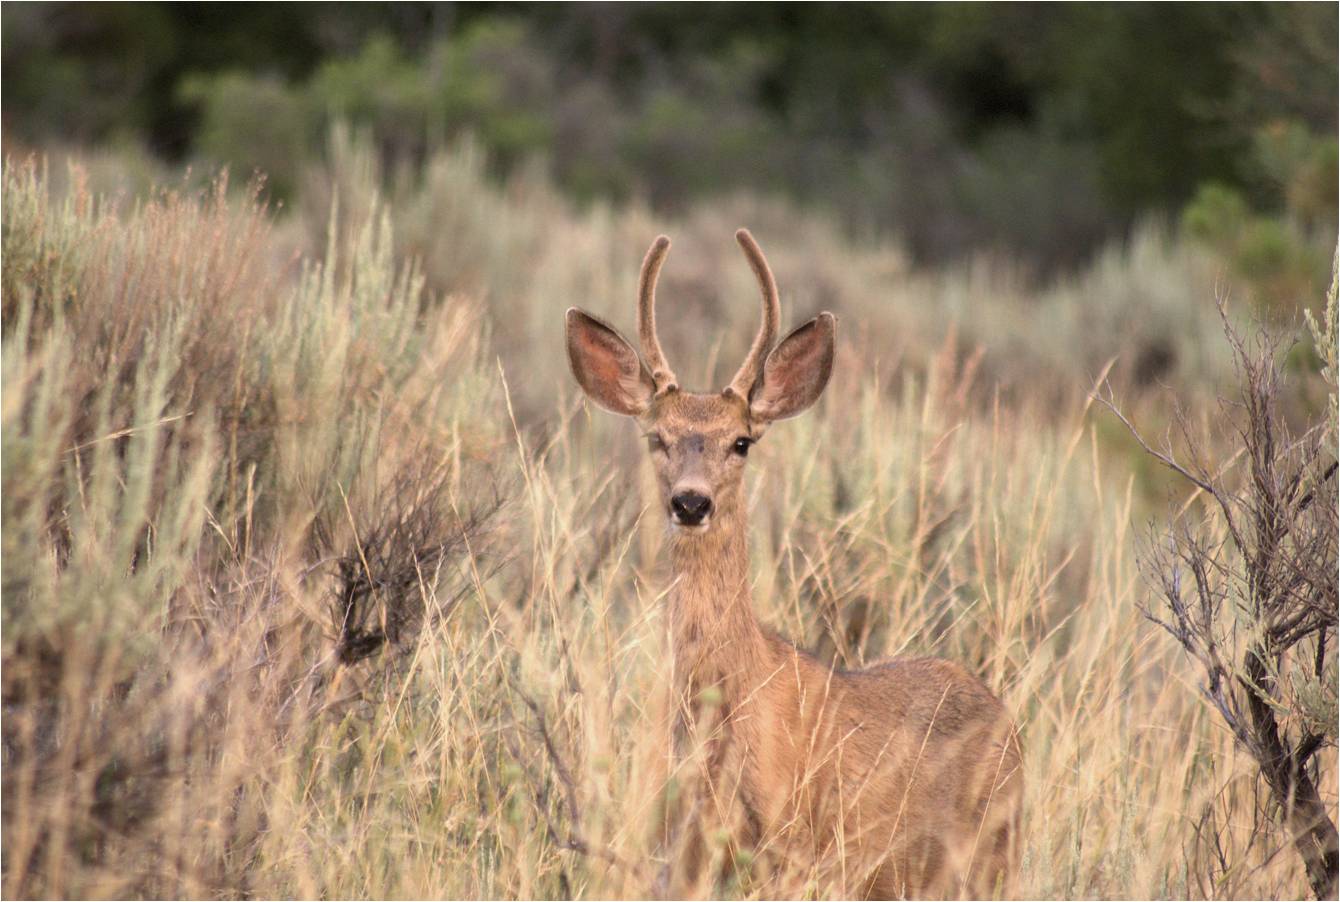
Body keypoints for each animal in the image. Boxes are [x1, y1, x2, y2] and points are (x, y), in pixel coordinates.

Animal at [562, 230, 1013, 895]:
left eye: (741, 442)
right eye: (656, 438)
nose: (690, 502)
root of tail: (1007, 717)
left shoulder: (792, 846)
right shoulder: (684, 846)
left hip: (991, 857)